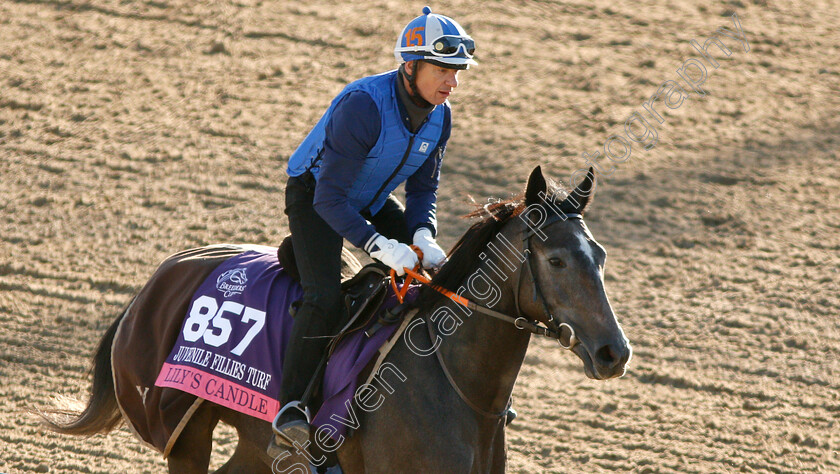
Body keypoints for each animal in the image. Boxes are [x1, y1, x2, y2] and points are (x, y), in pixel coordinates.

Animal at [41, 165, 632, 472]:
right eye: (556, 260)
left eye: (600, 255)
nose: (614, 353)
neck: (456, 385)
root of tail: (152, 283)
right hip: (184, 435)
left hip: (252, 445)